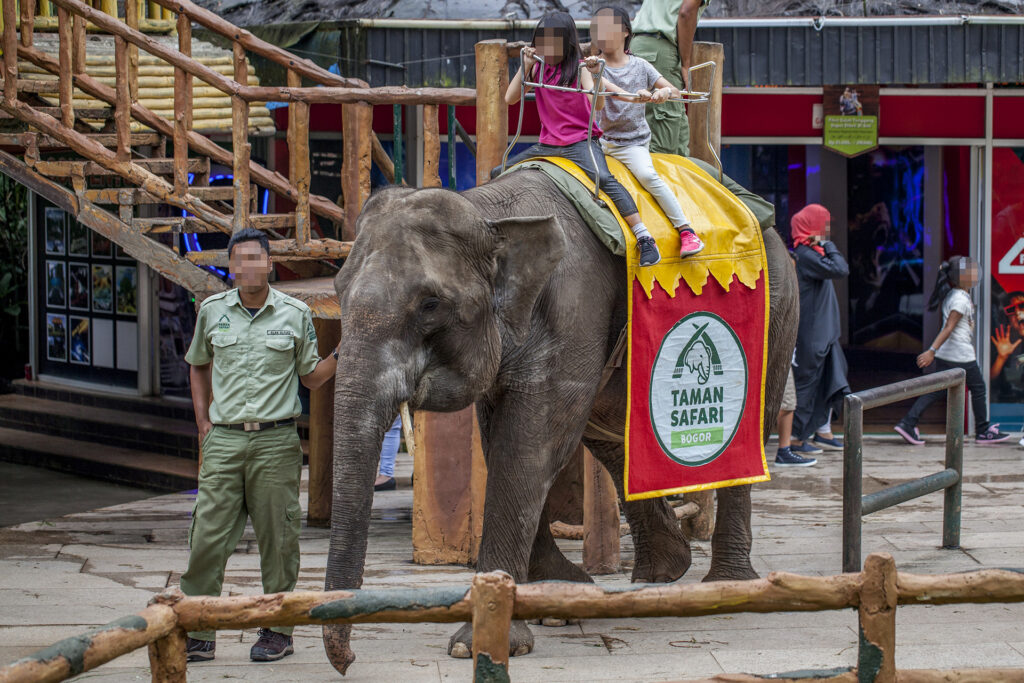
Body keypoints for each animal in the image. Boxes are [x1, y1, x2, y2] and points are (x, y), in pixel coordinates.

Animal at [322, 166, 799, 674]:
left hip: (776, 311)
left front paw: (481, 642)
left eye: (430, 304)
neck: (489, 213)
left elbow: (530, 444)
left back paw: (729, 585)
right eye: (338, 291)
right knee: (613, 437)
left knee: (749, 431)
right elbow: (502, 440)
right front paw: (558, 600)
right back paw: (662, 572)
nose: (349, 663)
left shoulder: (573, 311)